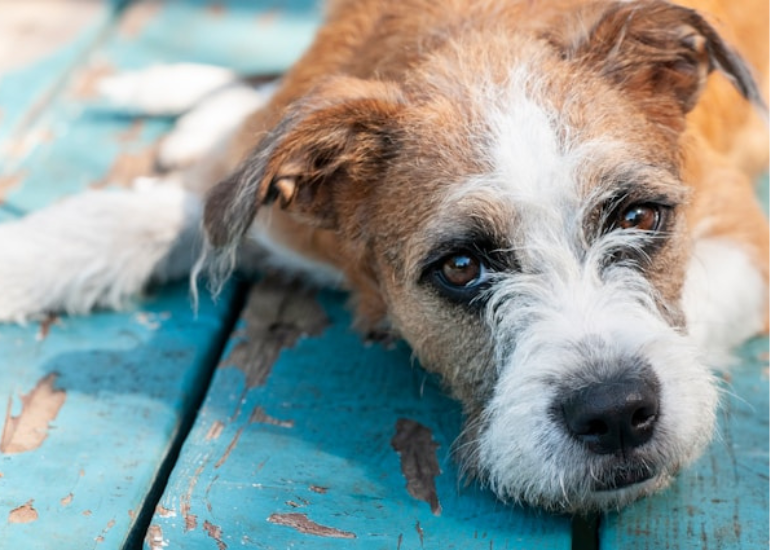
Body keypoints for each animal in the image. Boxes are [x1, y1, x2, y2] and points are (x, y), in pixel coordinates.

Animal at [0, 0, 764, 512]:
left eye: (637, 217)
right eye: (461, 267)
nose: (615, 414)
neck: (478, 43)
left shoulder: (742, 233)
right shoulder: (255, 205)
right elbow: (122, 220)